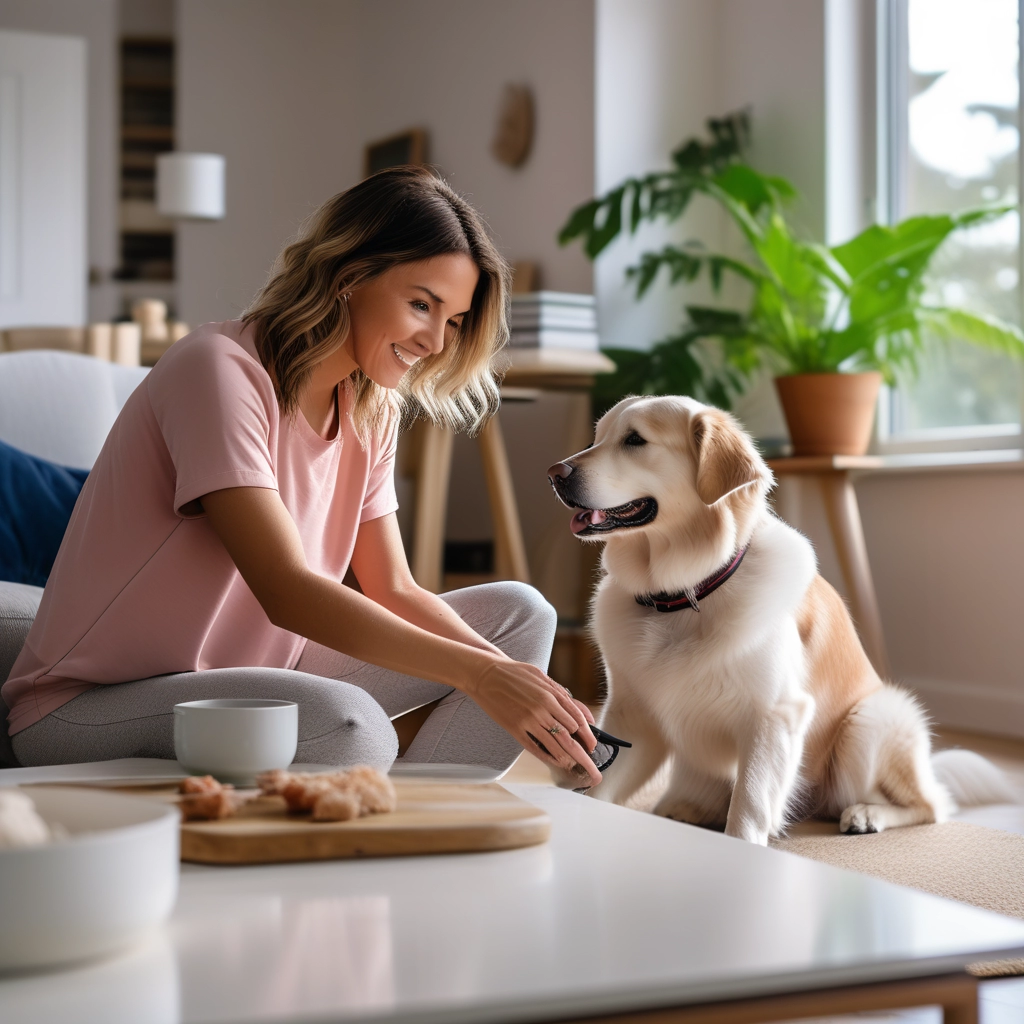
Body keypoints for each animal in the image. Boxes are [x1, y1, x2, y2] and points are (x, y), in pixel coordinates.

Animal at [548, 395, 1011, 843]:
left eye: (635, 440)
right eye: (595, 438)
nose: (554, 472)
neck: (687, 592)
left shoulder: (774, 716)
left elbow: (749, 806)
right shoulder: (634, 717)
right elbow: (601, 786)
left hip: (871, 719)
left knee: (930, 806)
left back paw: (866, 813)